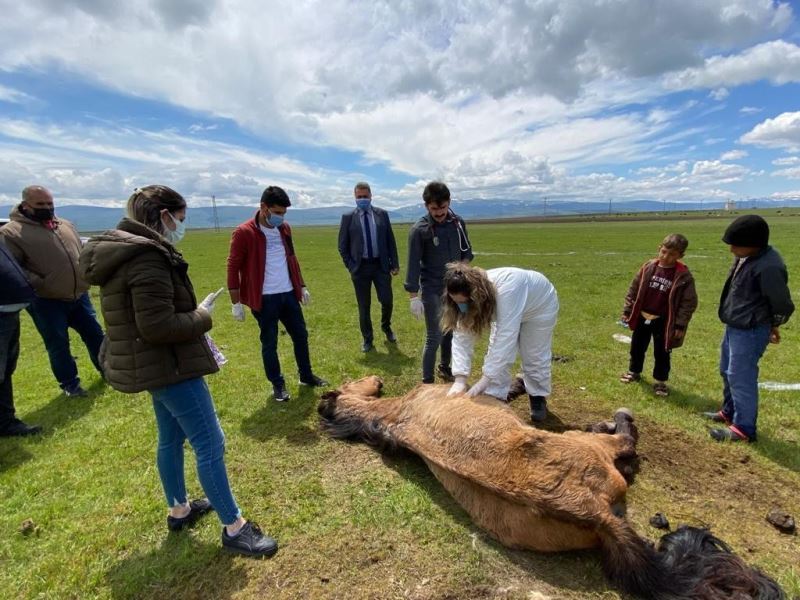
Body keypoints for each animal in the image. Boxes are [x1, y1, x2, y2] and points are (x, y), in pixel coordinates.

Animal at [318, 378, 780, 596]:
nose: (375, 378)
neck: (394, 414)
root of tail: (595, 513)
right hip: (594, 448)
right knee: (626, 442)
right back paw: (618, 422)